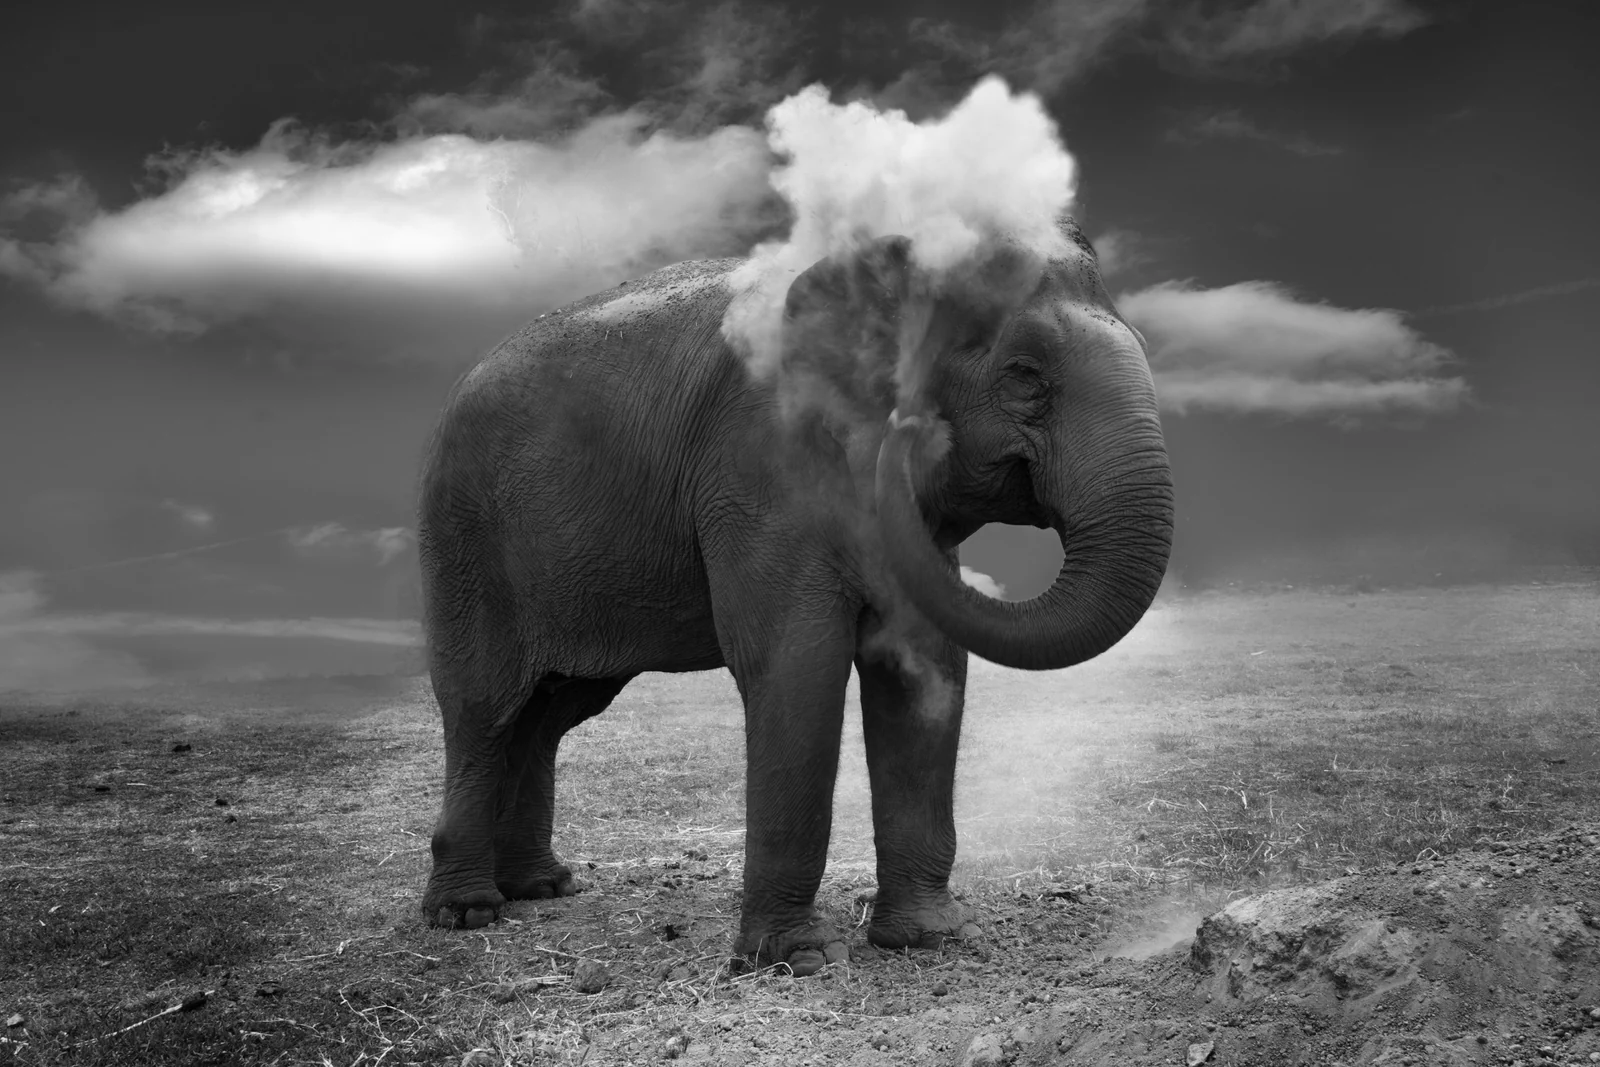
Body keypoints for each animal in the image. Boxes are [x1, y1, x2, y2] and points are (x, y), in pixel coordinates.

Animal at [416, 218, 1174, 976]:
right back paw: (467, 911)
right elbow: (797, 663)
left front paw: (930, 938)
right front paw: (798, 960)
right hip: (465, 542)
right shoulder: (760, 469)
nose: (909, 428)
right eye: (1025, 376)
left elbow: (925, 666)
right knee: (484, 708)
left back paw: (544, 888)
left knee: (549, 711)